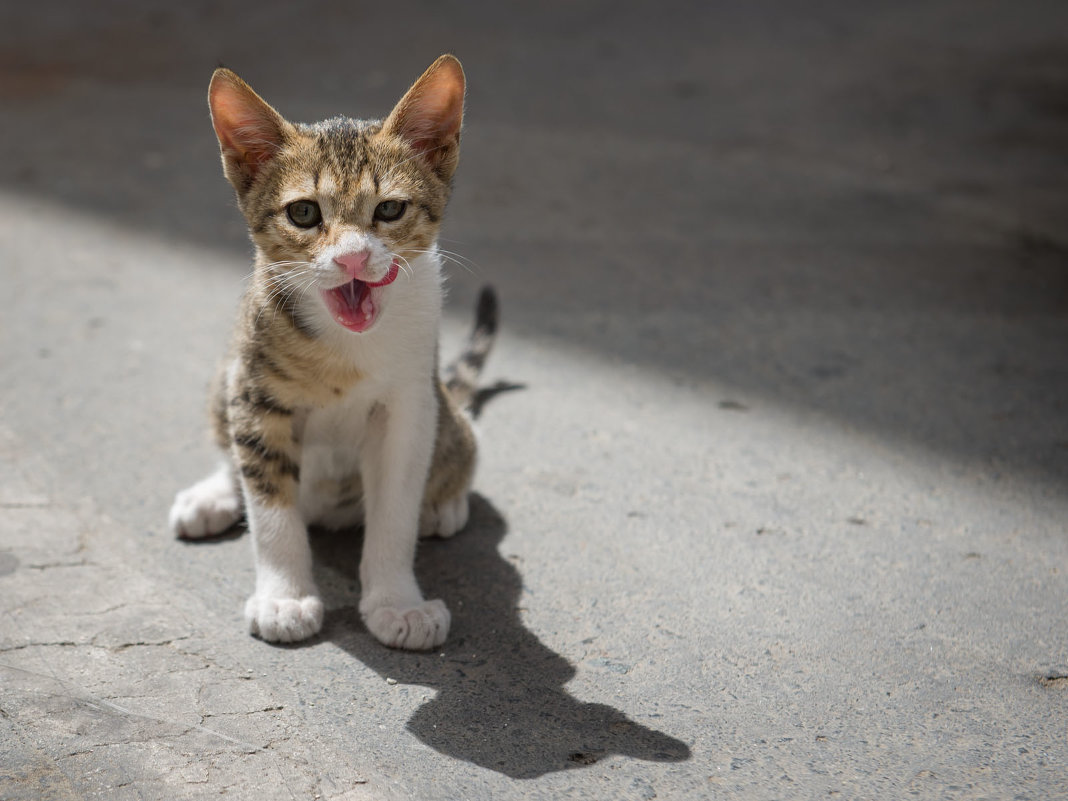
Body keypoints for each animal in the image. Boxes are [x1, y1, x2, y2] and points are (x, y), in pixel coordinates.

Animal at [168, 55, 493, 653]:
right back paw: (215, 494)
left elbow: (395, 507)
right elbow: (270, 505)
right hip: (227, 372)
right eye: (302, 213)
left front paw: (397, 602)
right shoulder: (253, 393)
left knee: (461, 441)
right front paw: (285, 598)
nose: (352, 259)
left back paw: (443, 503)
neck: (347, 350)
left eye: (389, 209)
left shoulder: (410, 404)